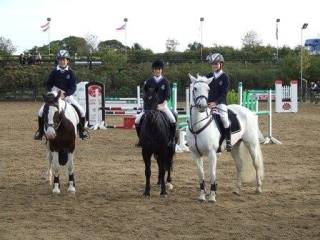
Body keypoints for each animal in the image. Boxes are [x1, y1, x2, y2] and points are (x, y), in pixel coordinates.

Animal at [186, 74, 264, 202]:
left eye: (208, 89)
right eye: (195, 88)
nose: (202, 106)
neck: (199, 126)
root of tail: (247, 111)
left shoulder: (212, 153)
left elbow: (212, 173)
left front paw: (212, 196)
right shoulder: (195, 154)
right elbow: (201, 174)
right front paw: (202, 195)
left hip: (251, 143)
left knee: (256, 164)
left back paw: (258, 188)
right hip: (235, 146)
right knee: (239, 165)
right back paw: (237, 189)